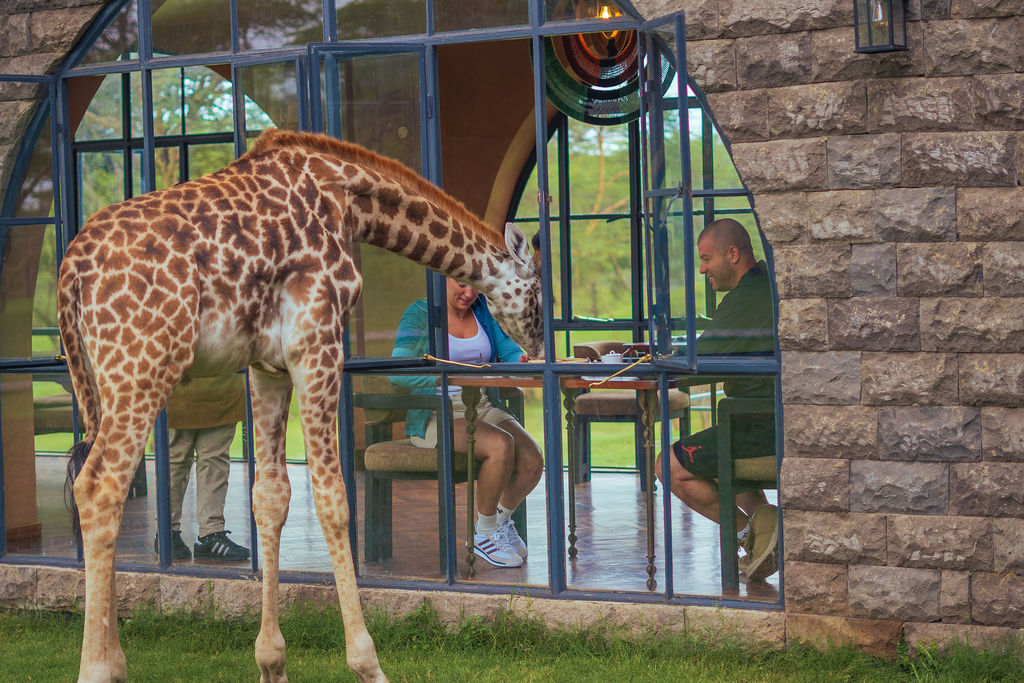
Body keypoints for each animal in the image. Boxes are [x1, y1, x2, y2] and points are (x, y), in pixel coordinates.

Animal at [58, 128, 544, 683]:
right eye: (538, 291)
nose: (539, 344)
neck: (347, 199)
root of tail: (72, 270)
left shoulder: (266, 365)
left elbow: (269, 497)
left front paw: (272, 663)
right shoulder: (318, 346)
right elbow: (334, 499)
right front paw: (368, 664)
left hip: (103, 378)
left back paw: (114, 657)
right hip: (143, 367)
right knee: (99, 487)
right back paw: (98, 667)